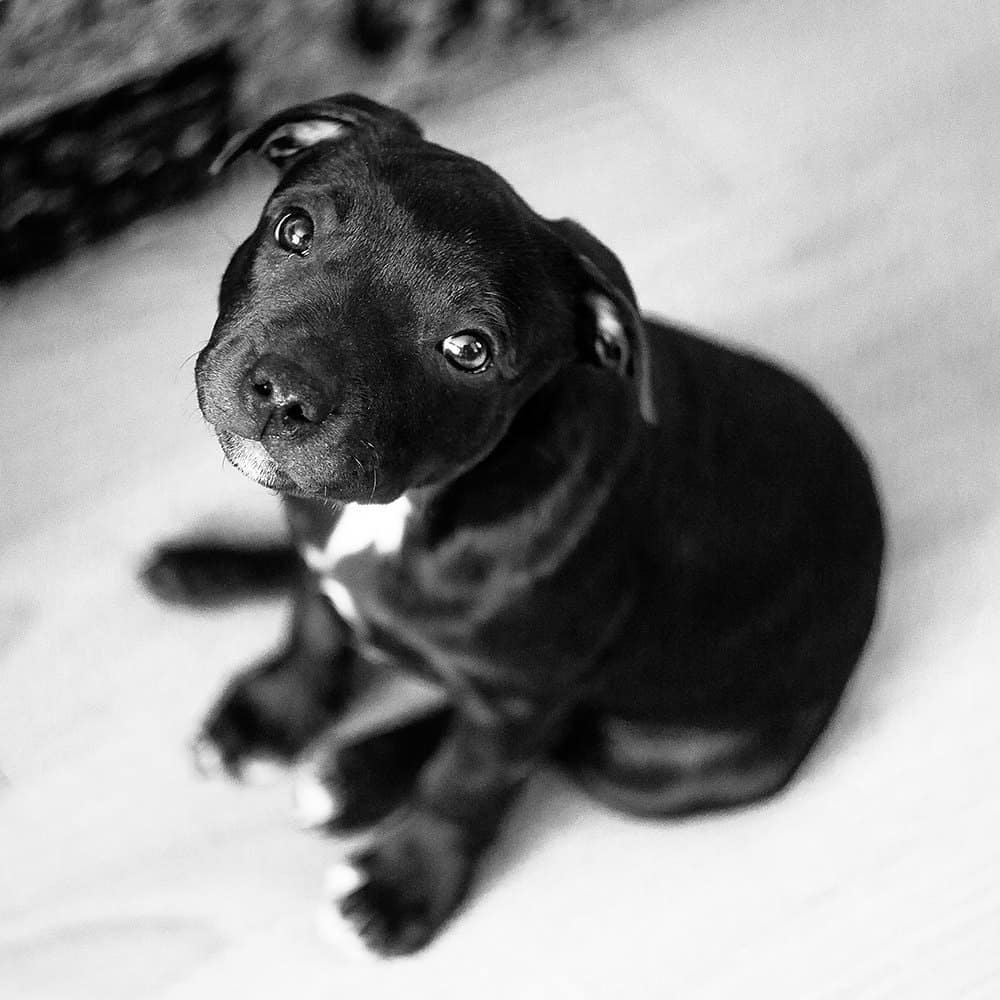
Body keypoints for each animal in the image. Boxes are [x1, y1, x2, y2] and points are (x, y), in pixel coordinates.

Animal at [146, 94, 884, 952]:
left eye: (469, 349)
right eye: (293, 230)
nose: (285, 391)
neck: (412, 508)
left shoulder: (519, 701)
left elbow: (466, 781)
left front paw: (402, 882)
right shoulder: (322, 545)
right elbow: (314, 622)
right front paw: (274, 713)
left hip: (657, 764)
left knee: (555, 736)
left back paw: (356, 775)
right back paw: (204, 571)